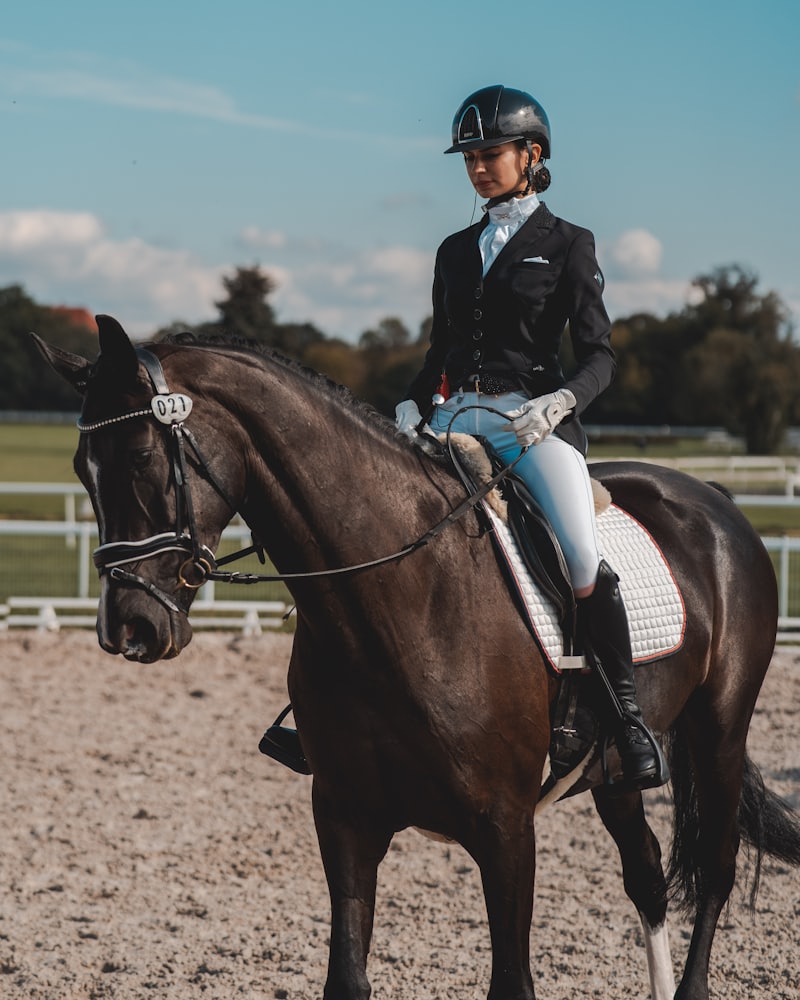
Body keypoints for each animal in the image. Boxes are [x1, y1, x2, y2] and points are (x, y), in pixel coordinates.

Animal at [33, 315, 800, 1000]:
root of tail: (712, 499)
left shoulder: (506, 830)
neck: (396, 602)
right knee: (645, 873)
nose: (127, 628)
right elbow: (346, 978)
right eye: (79, 469)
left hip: (718, 731)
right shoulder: (345, 818)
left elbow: (512, 983)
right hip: (611, 767)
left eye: (140, 457)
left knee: (715, 868)